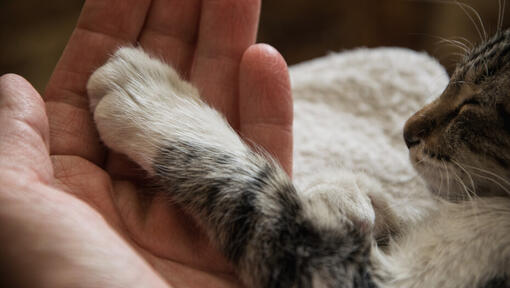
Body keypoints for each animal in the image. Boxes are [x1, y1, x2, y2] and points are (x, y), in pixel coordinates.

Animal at [85, 28, 510, 286]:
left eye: (474, 106)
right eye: (453, 78)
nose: (407, 133)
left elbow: (255, 194)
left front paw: (149, 96)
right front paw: (343, 196)